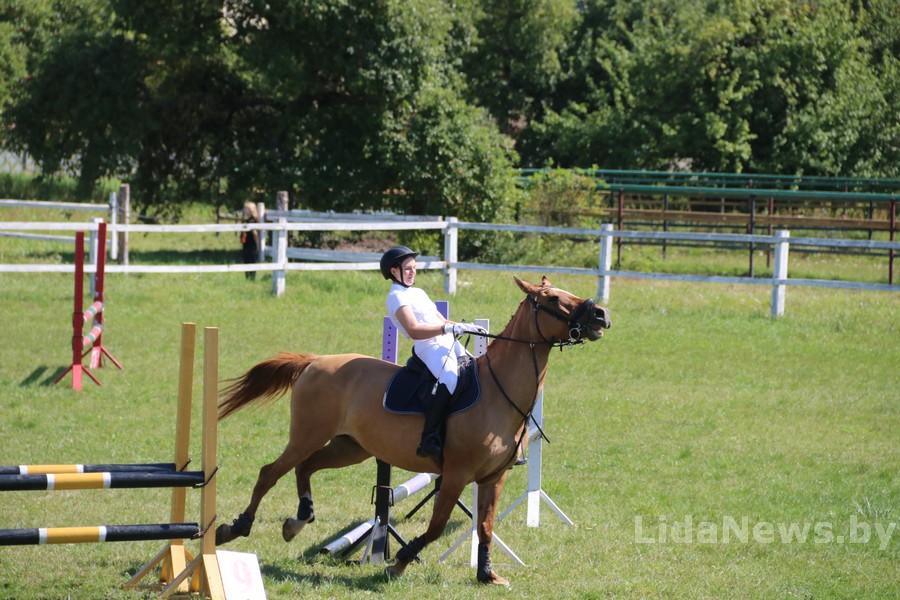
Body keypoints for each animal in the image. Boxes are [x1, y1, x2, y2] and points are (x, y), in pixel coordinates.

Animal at [215, 278, 616, 584]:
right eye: (552, 299)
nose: (601, 315)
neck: (498, 393)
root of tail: (315, 362)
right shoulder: (456, 474)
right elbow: (437, 527)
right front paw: (399, 562)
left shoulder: (493, 478)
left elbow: (486, 526)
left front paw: (487, 574)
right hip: (307, 436)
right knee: (271, 472)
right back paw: (235, 528)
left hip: (350, 447)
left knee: (306, 467)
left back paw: (297, 521)